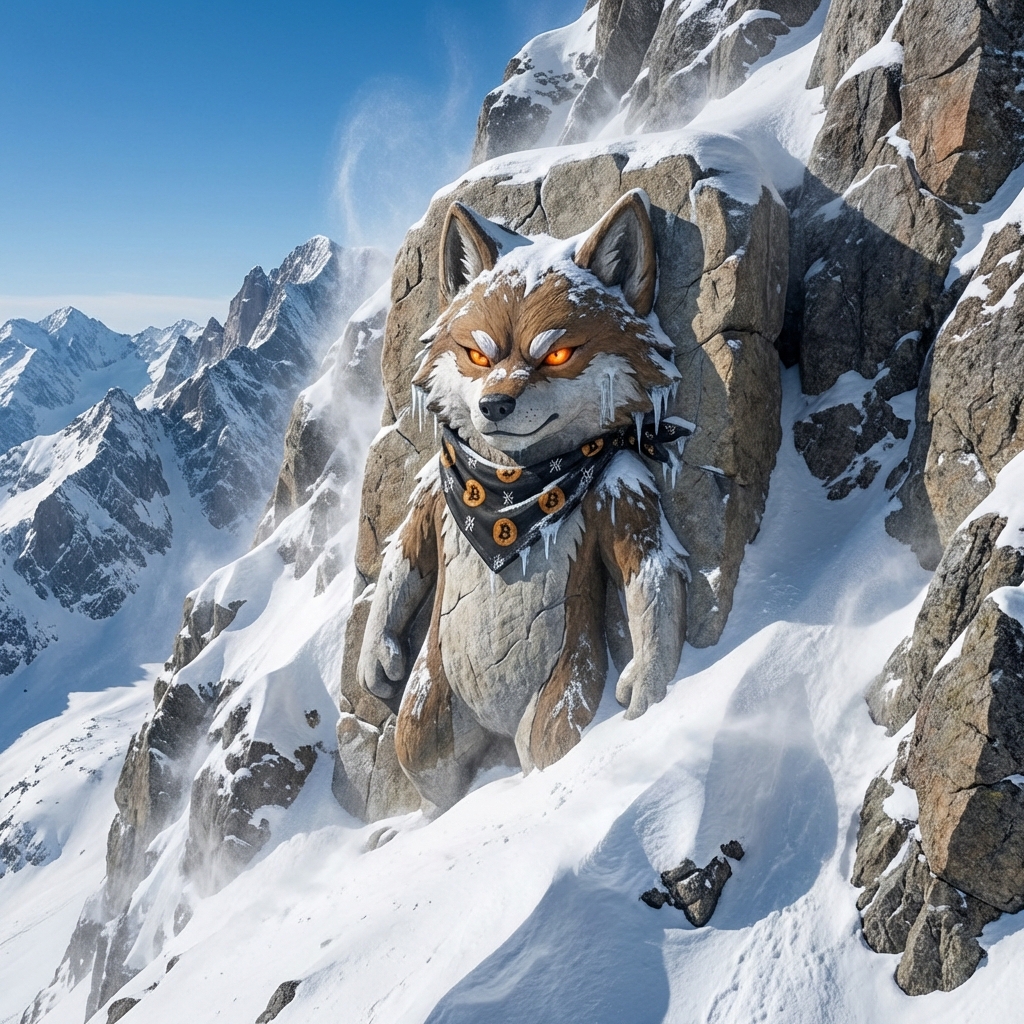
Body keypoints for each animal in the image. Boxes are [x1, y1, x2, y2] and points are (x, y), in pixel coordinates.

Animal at [357, 188, 689, 814]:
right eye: (477, 355)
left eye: (557, 355)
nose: (494, 405)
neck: (511, 487)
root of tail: (494, 724)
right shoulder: (434, 487)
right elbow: (403, 563)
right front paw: (375, 656)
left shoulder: (621, 485)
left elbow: (648, 571)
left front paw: (648, 682)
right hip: (427, 709)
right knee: (429, 767)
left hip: (560, 697)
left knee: (547, 749)